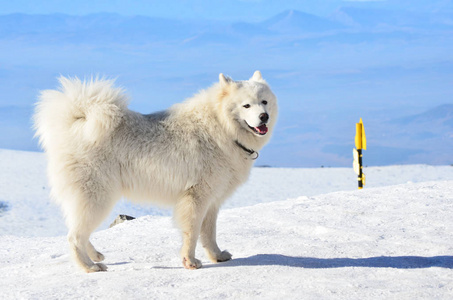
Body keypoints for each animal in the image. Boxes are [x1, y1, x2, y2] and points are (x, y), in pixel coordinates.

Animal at [33, 72, 278, 272]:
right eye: (246, 106)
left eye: (264, 102)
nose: (264, 116)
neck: (220, 127)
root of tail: (76, 121)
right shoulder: (196, 197)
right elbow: (192, 233)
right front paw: (190, 262)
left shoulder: (212, 201)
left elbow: (209, 234)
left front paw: (217, 257)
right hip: (97, 199)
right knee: (74, 237)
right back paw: (89, 267)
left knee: (79, 233)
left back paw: (96, 256)